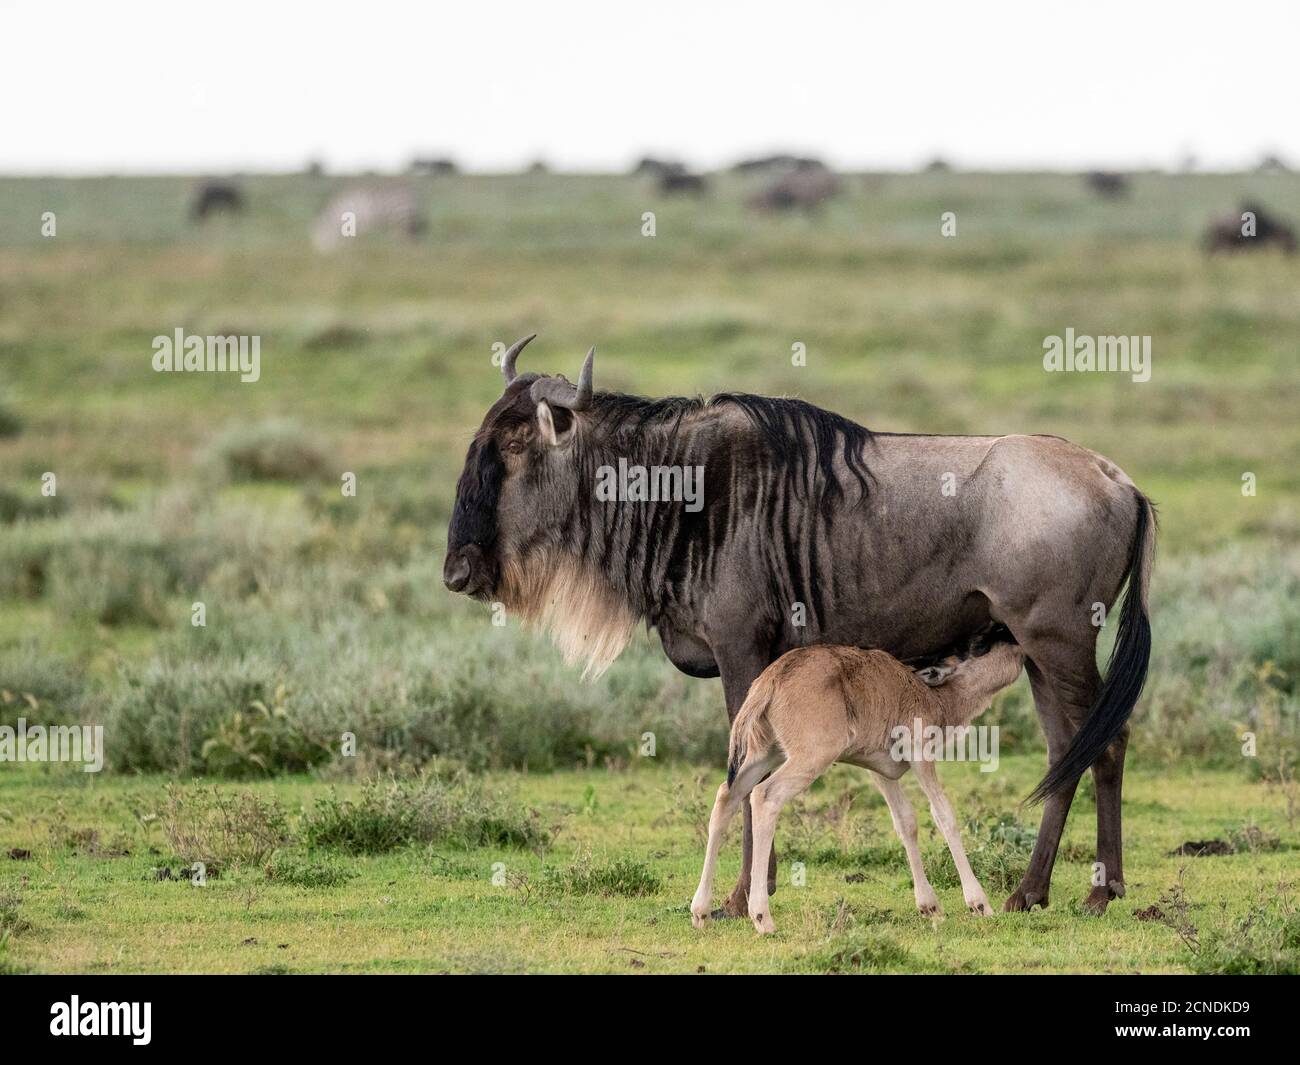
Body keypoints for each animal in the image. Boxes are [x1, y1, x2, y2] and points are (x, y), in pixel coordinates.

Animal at [691, 642, 1024, 931]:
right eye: (981, 647)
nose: (1017, 651)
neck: (932, 696)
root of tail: (770, 679)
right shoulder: (920, 755)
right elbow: (943, 815)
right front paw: (979, 904)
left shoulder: (883, 774)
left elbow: (906, 822)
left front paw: (929, 906)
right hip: (812, 756)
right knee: (765, 795)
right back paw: (762, 918)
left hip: (765, 753)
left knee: (728, 795)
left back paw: (700, 911)